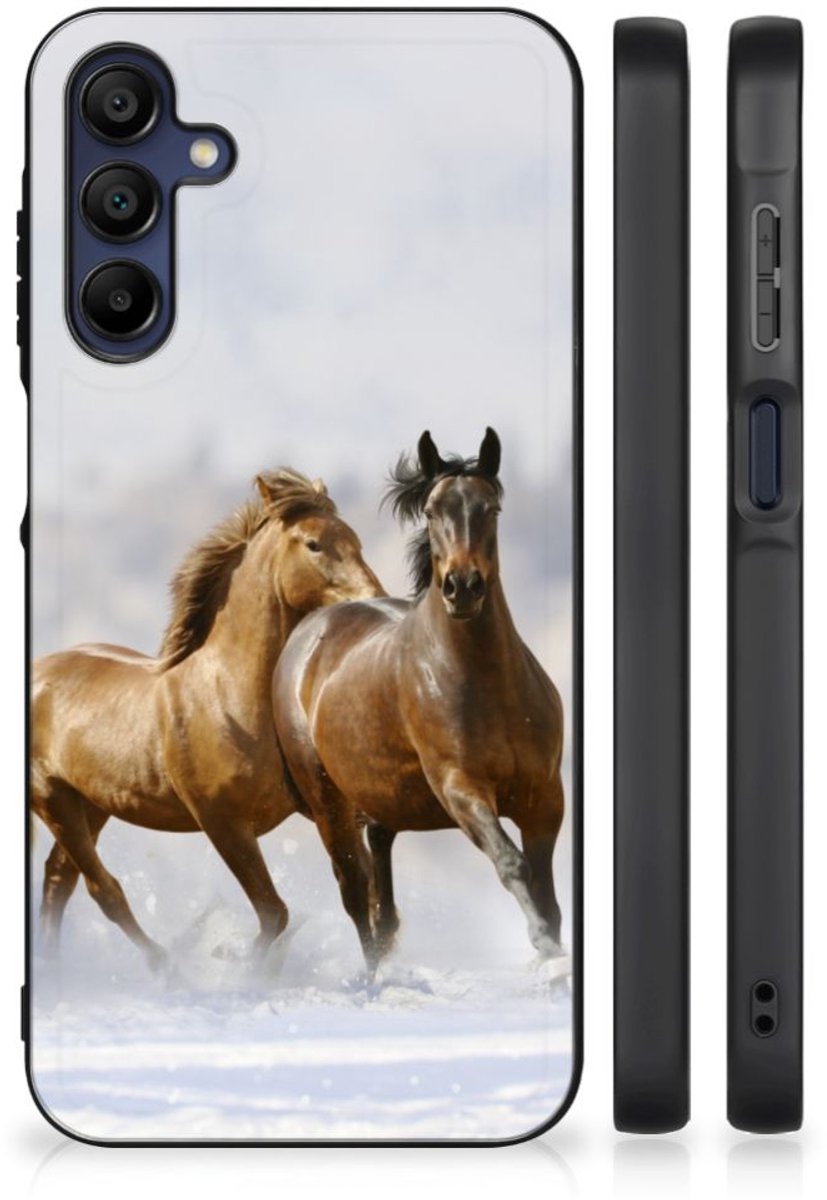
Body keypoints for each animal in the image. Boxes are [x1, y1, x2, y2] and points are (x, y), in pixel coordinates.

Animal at [31, 469, 384, 970]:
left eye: (355, 540)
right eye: (314, 544)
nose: (376, 600)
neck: (229, 698)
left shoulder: (323, 807)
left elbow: (359, 890)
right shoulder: (222, 822)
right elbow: (274, 912)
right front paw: (237, 963)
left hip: (92, 804)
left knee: (59, 880)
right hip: (52, 798)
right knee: (103, 889)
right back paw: (164, 965)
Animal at [272, 429, 565, 973]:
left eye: (491, 507)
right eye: (430, 511)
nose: (462, 587)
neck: (488, 686)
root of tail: (307, 633)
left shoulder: (545, 796)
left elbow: (546, 888)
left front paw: (553, 949)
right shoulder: (461, 789)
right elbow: (512, 863)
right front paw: (543, 946)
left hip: (381, 800)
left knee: (380, 891)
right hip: (328, 804)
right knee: (355, 892)